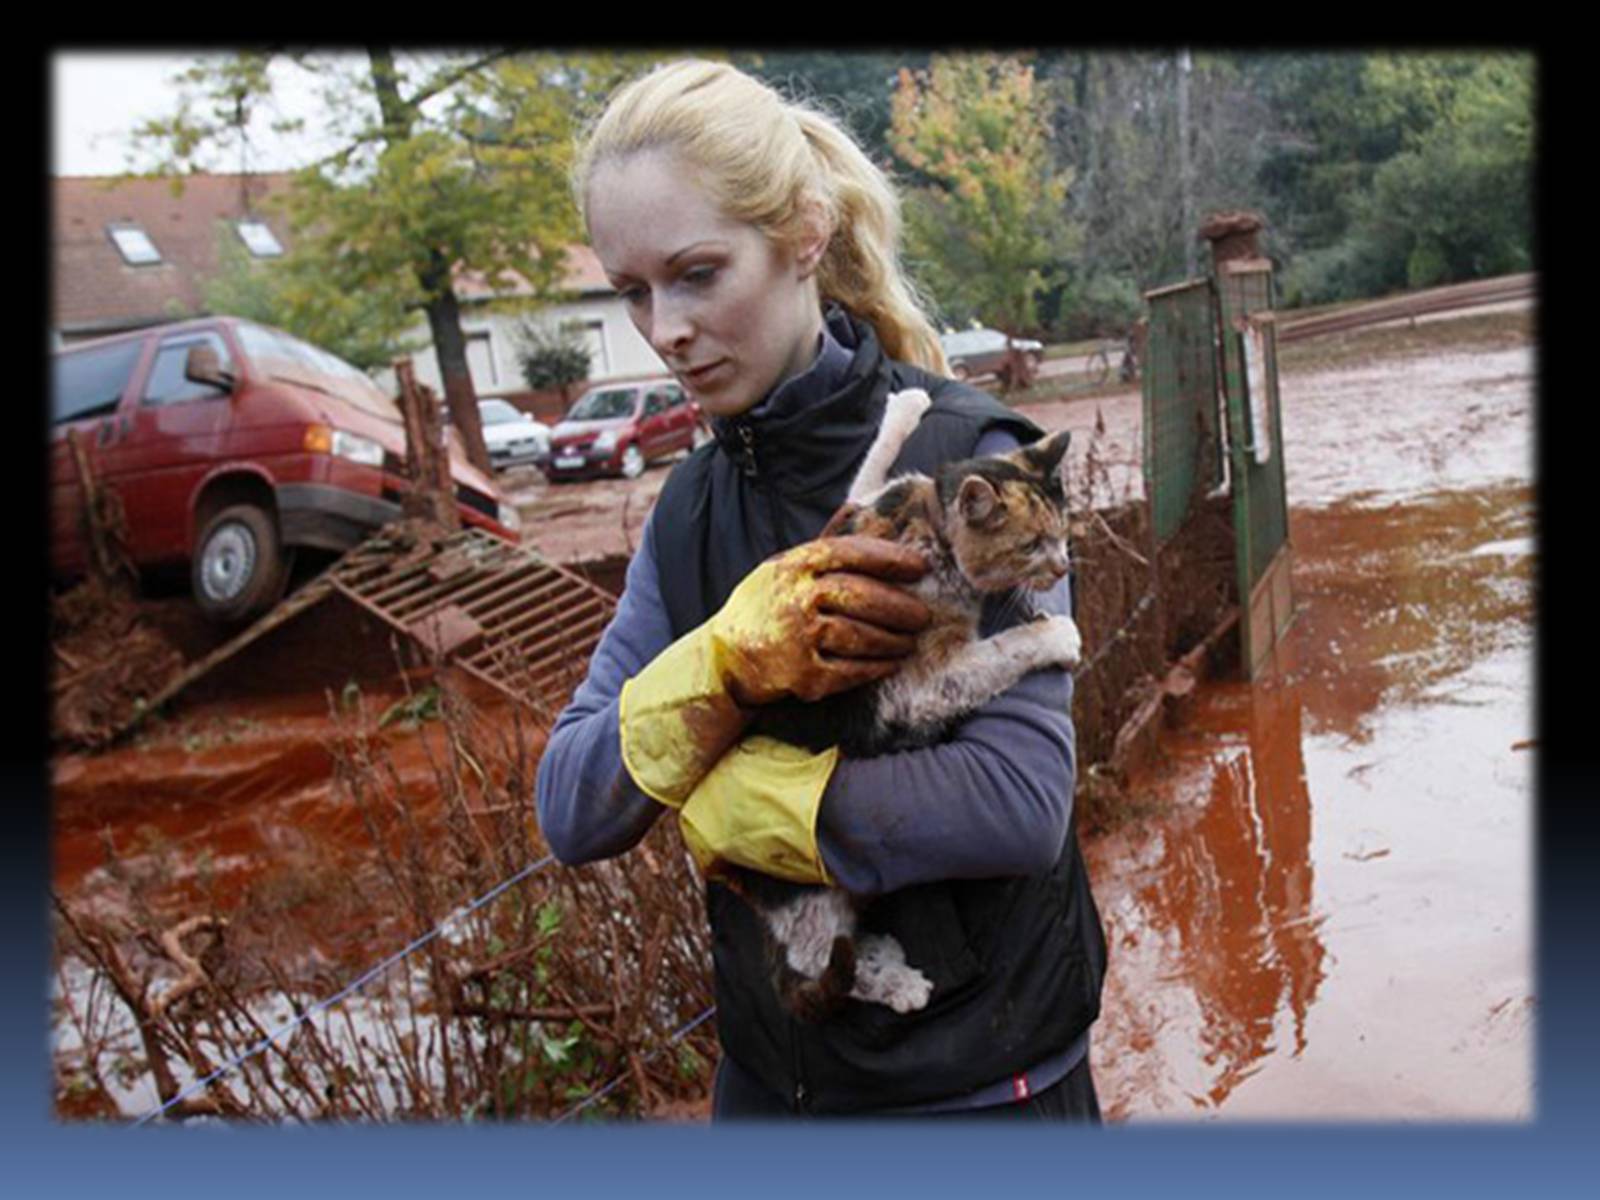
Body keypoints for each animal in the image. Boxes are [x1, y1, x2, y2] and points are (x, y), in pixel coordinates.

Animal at [732, 392, 1081, 1024]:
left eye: (1062, 531)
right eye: (1030, 545)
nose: (1064, 565)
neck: (930, 523)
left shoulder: (853, 513)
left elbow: (866, 469)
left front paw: (906, 407)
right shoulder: (916, 685)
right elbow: (1000, 652)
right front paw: (1056, 636)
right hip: (807, 891)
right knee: (818, 962)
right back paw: (897, 984)